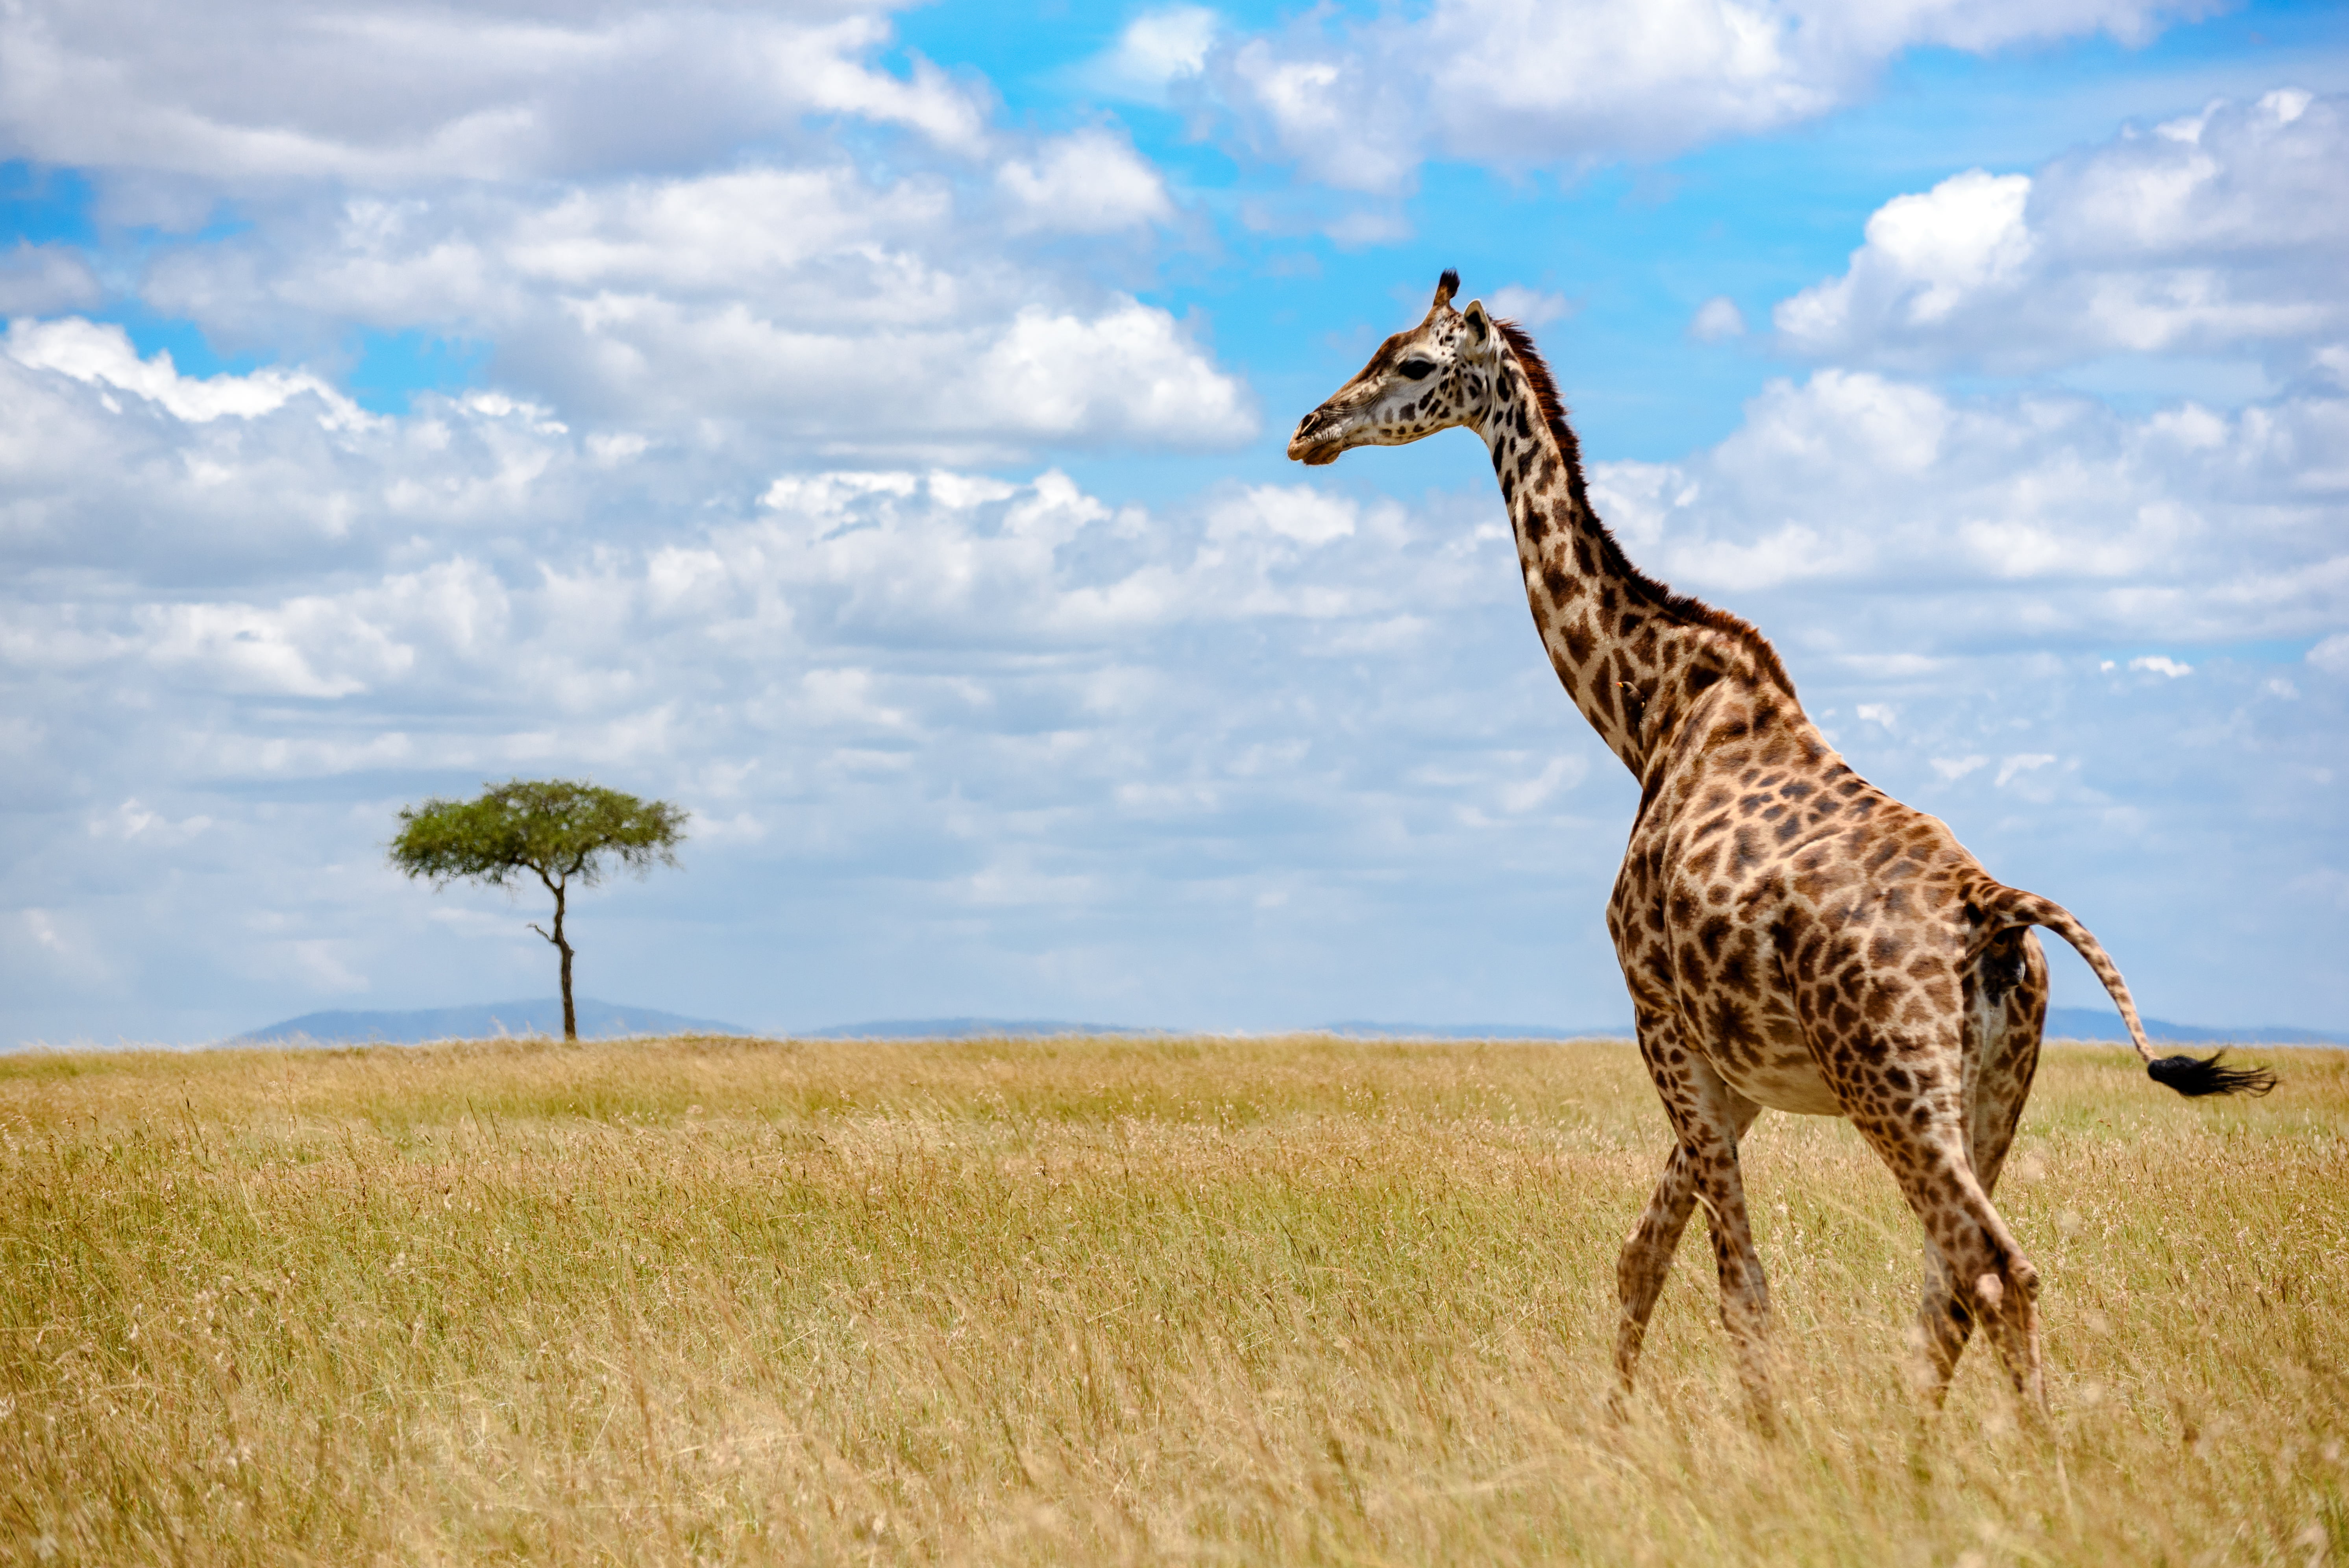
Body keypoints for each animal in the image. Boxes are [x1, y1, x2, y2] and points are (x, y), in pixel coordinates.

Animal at [1287, 272, 2274, 1418]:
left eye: (1412, 363)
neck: (1649, 711)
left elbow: (1737, 1290)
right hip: (1995, 1090)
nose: (1310, 430)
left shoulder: (1658, 1016)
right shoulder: (1741, 1071)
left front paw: (1750, 1440)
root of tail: (1993, 911)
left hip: (1893, 1084)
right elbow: (1642, 1256)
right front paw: (1618, 1430)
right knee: (1951, 1286)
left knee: (1991, 1270)